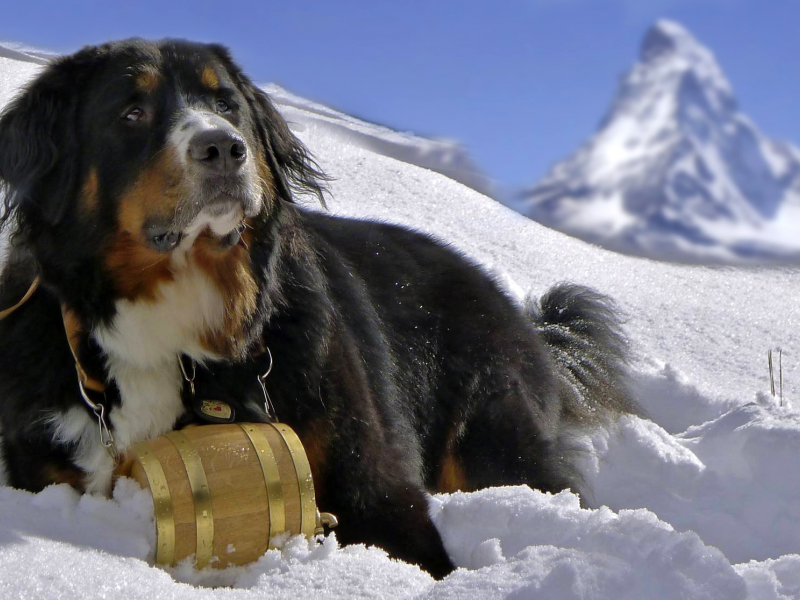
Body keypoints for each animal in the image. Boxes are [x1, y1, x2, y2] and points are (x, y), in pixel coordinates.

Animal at [0, 37, 636, 576]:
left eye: (226, 105)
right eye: (131, 112)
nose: (223, 147)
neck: (177, 320)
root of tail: (517, 311)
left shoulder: (373, 482)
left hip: (490, 436)